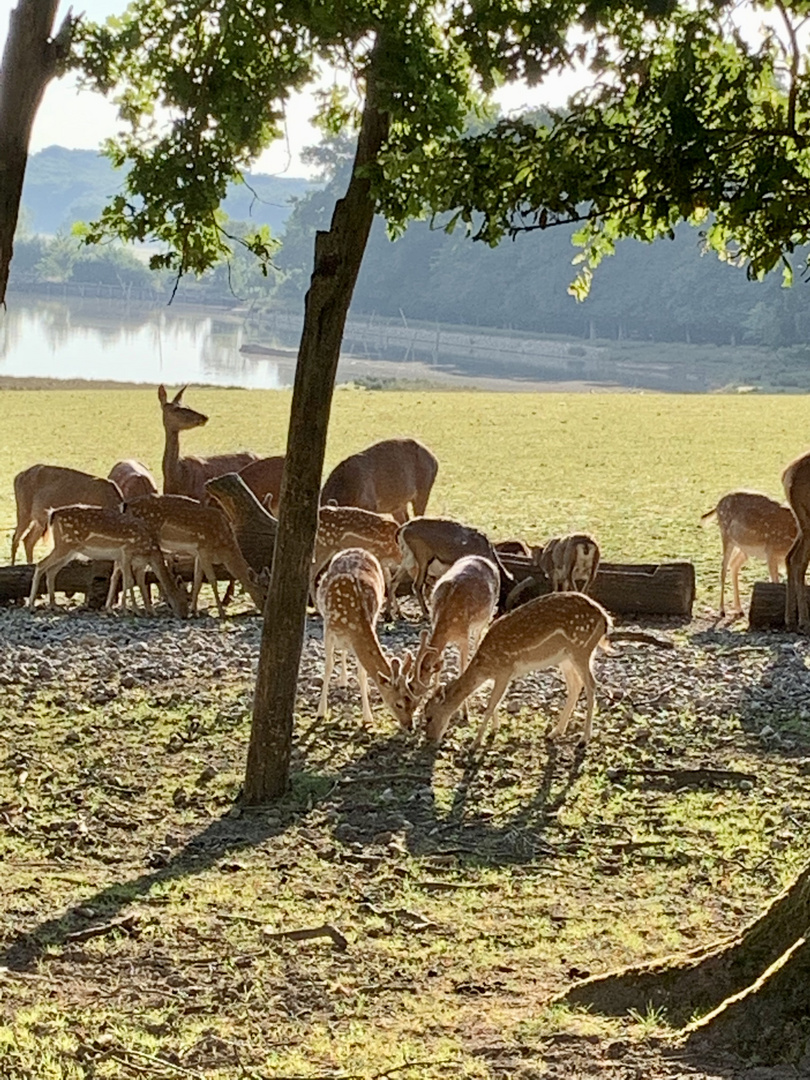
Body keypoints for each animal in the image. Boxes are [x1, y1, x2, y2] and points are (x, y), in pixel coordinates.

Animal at [27, 505, 190, 617]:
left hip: (69, 550)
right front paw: (132, 610)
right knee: (41, 565)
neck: (150, 549)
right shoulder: (127, 551)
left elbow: (123, 580)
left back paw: (54, 605)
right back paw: (32, 606)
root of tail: (53, 514)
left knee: (51, 570)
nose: (184, 615)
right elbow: (129, 580)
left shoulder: (132, 561)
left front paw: (114, 609)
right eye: (184, 598)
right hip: (64, 544)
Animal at [125, 494, 266, 617]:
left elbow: (197, 579)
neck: (224, 548)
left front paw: (194, 610)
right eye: (264, 594)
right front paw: (221, 612)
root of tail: (126, 505)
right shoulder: (204, 549)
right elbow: (212, 580)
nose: (263, 611)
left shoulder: (198, 554)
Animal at [315, 552, 419, 730]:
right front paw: (321, 712)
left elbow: (362, 673)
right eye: (398, 704)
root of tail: (356, 549)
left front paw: (367, 717)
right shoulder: (328, 629)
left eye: (412, 700)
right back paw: (342, 681)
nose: (409, 726)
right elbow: (328, 667)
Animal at [425, 591, 609, 751]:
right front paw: (495, 729)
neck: (486, 667)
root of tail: (605, 619)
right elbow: (494, 703)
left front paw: (474, 744)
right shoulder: (499, 676)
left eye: (429, 716)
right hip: (566, 657)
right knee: (575, 686)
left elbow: (490, 705)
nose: (430, 739)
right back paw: (555, 732)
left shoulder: (505, 671)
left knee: (591, 684)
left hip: (581, 648)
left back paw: (583, 740)